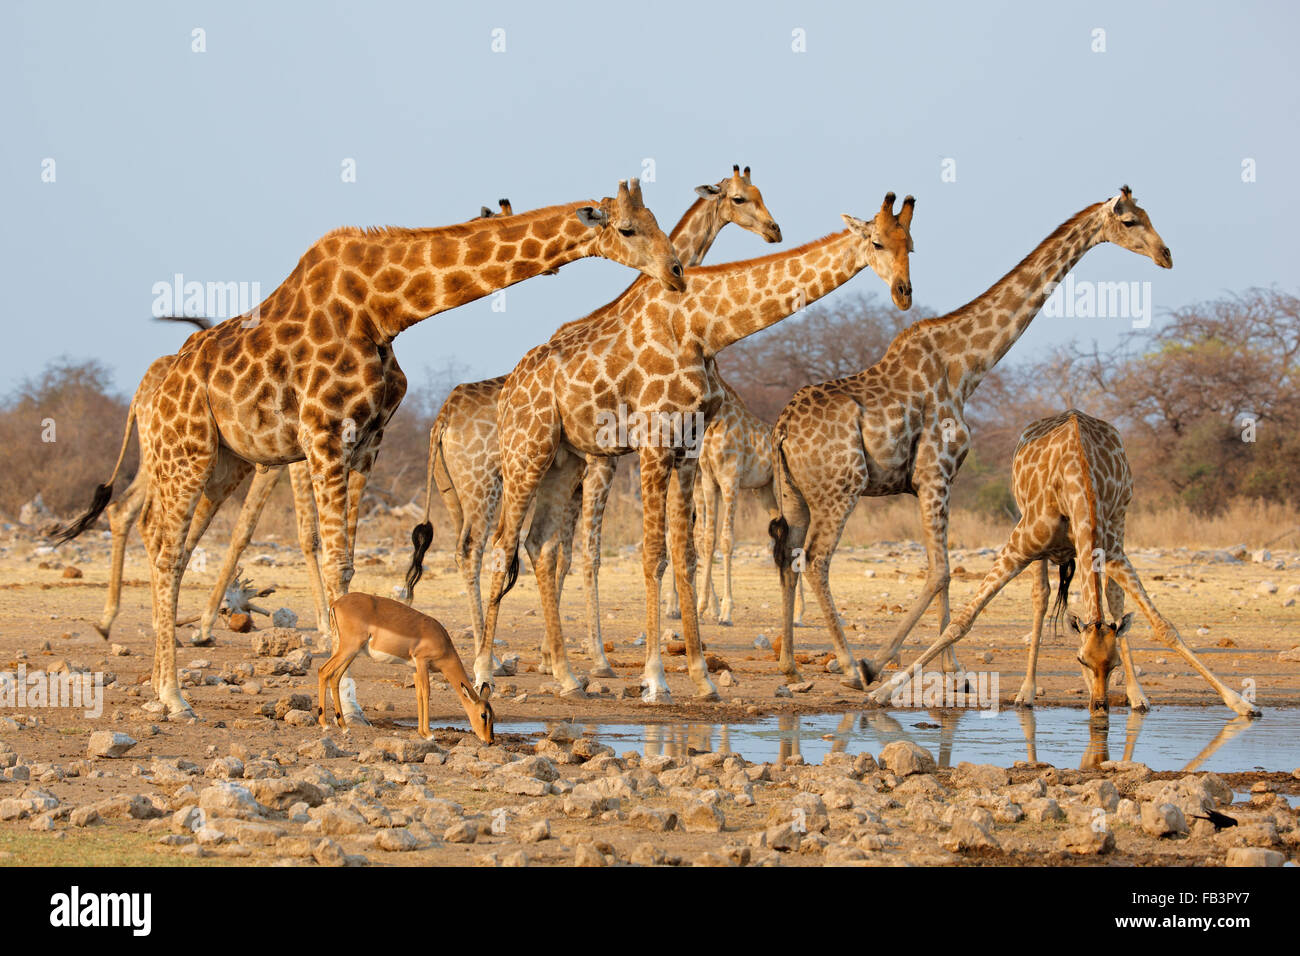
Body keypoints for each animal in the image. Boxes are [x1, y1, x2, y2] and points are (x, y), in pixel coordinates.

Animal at [55, 180, 686, 717]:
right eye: (628, 228)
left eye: (658, 221)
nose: (677, 271)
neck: (385, 308)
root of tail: (147, 396)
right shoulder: (324, 436)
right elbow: (336, 563)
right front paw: (348, 703)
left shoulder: (366, 445)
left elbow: (350, 564)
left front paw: (347, 698)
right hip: (183, 451)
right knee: (163, 546)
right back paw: (173, 696)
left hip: (221, 463)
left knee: (171, 544)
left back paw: (163, 687)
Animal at [403, 164, 780, 676]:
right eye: (741, 198)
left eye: (760, 194)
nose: (774, 230)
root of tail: (441, 417)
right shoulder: (602, 462)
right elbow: (583, 555)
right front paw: (593, 657)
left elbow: (560, 554)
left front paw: (556, 656)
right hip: (487, 483)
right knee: (476, 549)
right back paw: (488, 658)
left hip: (455, 490)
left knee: (467, 549)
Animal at [475, 191, 915, 697]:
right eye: (878, 242)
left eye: (911, 244)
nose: (904, 292)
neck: (703, 327)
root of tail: (509, 387)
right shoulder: (653, 443)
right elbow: (653, 555)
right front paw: (655, 677)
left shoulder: (687, 450)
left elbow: (684, 554)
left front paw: (702, 677)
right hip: (526, 450)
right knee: (502, 544)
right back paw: (485, 671)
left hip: (564, 460)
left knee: (541, 547)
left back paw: (567, 675)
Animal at [764, 188, 1175, 697]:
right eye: (1132, 221)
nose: (1166, 255)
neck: (965, 365)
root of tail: (781, 429)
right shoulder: (934, 474)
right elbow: (940, 571)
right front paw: (880, 664)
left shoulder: (940, 481)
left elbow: (944, 574)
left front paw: (952, 671)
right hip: (841, 488)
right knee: (818, 560)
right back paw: (846, 664)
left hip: (795, 493)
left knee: (789, 557)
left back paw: (791, 667)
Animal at [863, 408, 1258, 717]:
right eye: (1082, 660)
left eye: (1113, 664)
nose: (1100, 706)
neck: (1076, 484)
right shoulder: (1018, 545)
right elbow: (962, 621)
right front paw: (880, 692)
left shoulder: (1112, 551)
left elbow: (1164, 626)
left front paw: (1240, 702)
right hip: (1036, 543)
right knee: (1041, 598)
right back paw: (1025, 692)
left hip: (1116, 529)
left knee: (1111, 602)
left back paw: (1136, 696)